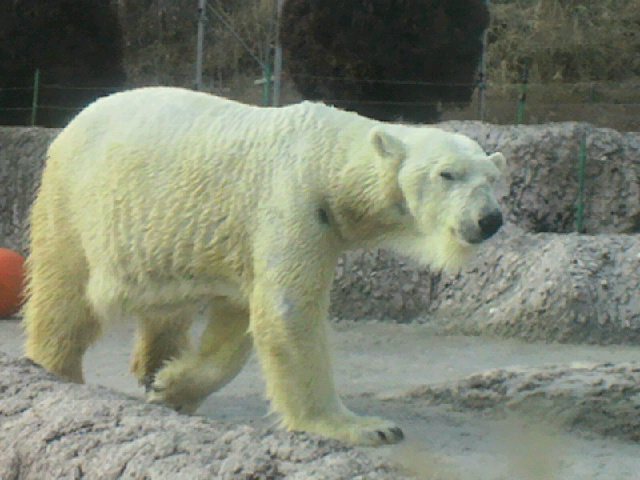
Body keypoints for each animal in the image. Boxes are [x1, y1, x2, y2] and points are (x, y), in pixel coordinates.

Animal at [23, 86, 504, 446]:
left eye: (493, 179)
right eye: (447, 174)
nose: (490, 219)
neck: (327, 157)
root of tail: (75, 120)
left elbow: (238, 321)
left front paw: (171, 387)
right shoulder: (293, 204)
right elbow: (289, 313)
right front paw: (366, 427)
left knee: (166, 308)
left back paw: (154, 366)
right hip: (75, 201)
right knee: (65, 295)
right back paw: (56, 370)